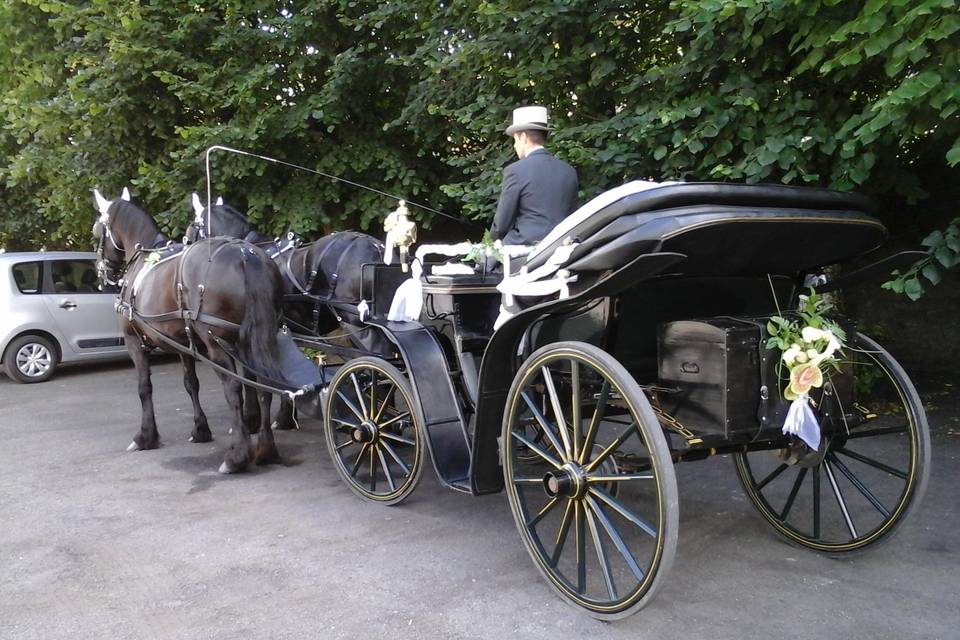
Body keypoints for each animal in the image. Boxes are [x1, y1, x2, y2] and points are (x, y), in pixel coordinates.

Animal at [96, 188, 292, 472]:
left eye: (96, 230)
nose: (101, 271)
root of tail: (246, 255)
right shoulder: (183, 343)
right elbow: (192, 384)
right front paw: (201, 429)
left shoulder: (134, 341)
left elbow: (144, 387)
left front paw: (145, 436)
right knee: (265, 384)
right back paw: (266, 448)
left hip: (216, 343)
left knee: (233, 387)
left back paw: (237, 456)